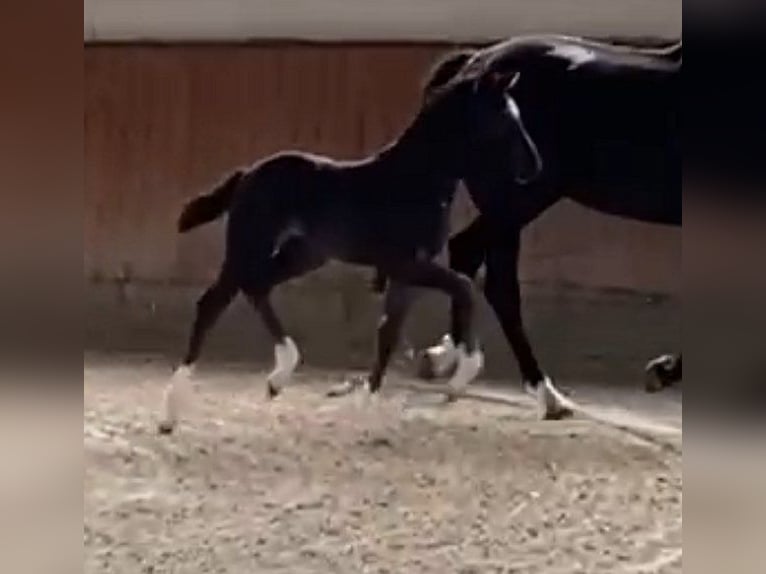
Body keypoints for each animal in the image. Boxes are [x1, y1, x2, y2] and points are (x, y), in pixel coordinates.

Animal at [156, 66, 544, 436]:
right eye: (503, 116)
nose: (534, 166)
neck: (416, 180)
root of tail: (248, 174)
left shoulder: (406, 273)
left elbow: (389, 333)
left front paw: (365, 409)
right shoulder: (406, 263)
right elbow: (463, 287)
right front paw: (464, 372)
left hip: (302, 255)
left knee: (256, 286)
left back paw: (279, 375)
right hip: (249, 246)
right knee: (212, 303)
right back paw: (172, 413)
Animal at [414, 35, 684, 414]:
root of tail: (476, 61)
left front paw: (663, 369)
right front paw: (663, 370)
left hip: (511, 207)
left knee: (475, 261)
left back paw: (443, 358)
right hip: (516, 202)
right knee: (489, 274)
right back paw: (542, 392)